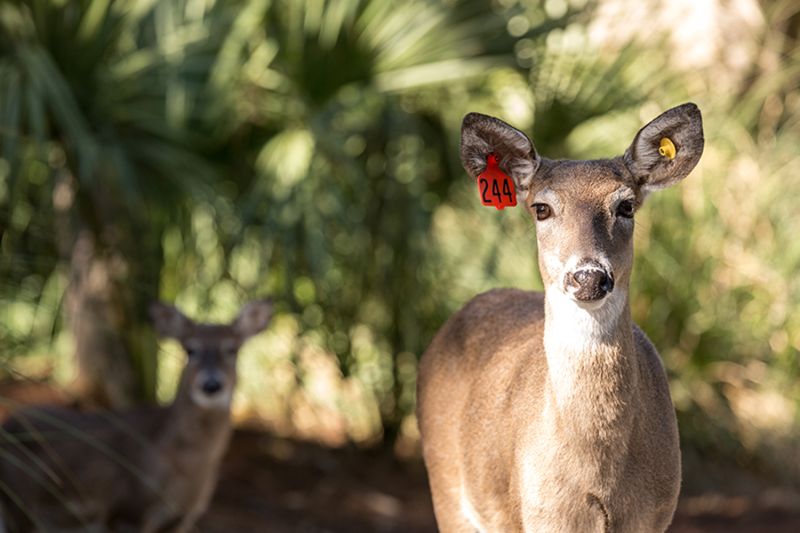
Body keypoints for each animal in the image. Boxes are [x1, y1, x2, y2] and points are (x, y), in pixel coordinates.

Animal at [0, 300, 273, 532]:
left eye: (232, 349)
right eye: (190, 349)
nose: (212, 385)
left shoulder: (182, 518)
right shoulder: (125, 509)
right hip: (19, 504)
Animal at [417, 104, 704, 532]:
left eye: (626, 205)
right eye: (542, 208)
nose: (589, 276)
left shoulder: (655, 514)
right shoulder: (539, 514)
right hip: (447, 484)